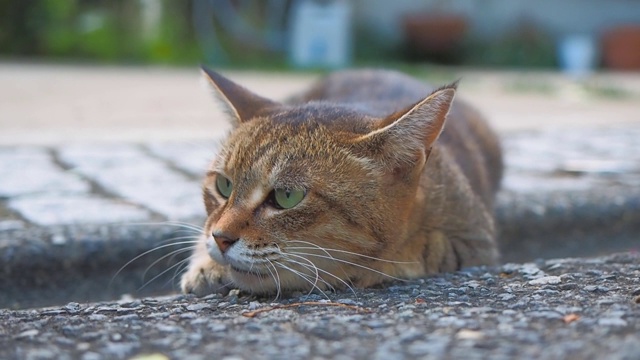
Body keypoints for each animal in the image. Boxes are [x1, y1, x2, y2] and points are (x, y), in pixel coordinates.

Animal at [178, 67, 502, 296]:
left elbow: (420, 248)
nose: (221, 239)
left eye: (287, 196)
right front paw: (206, 264)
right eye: (224, 185)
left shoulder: (475, 242)